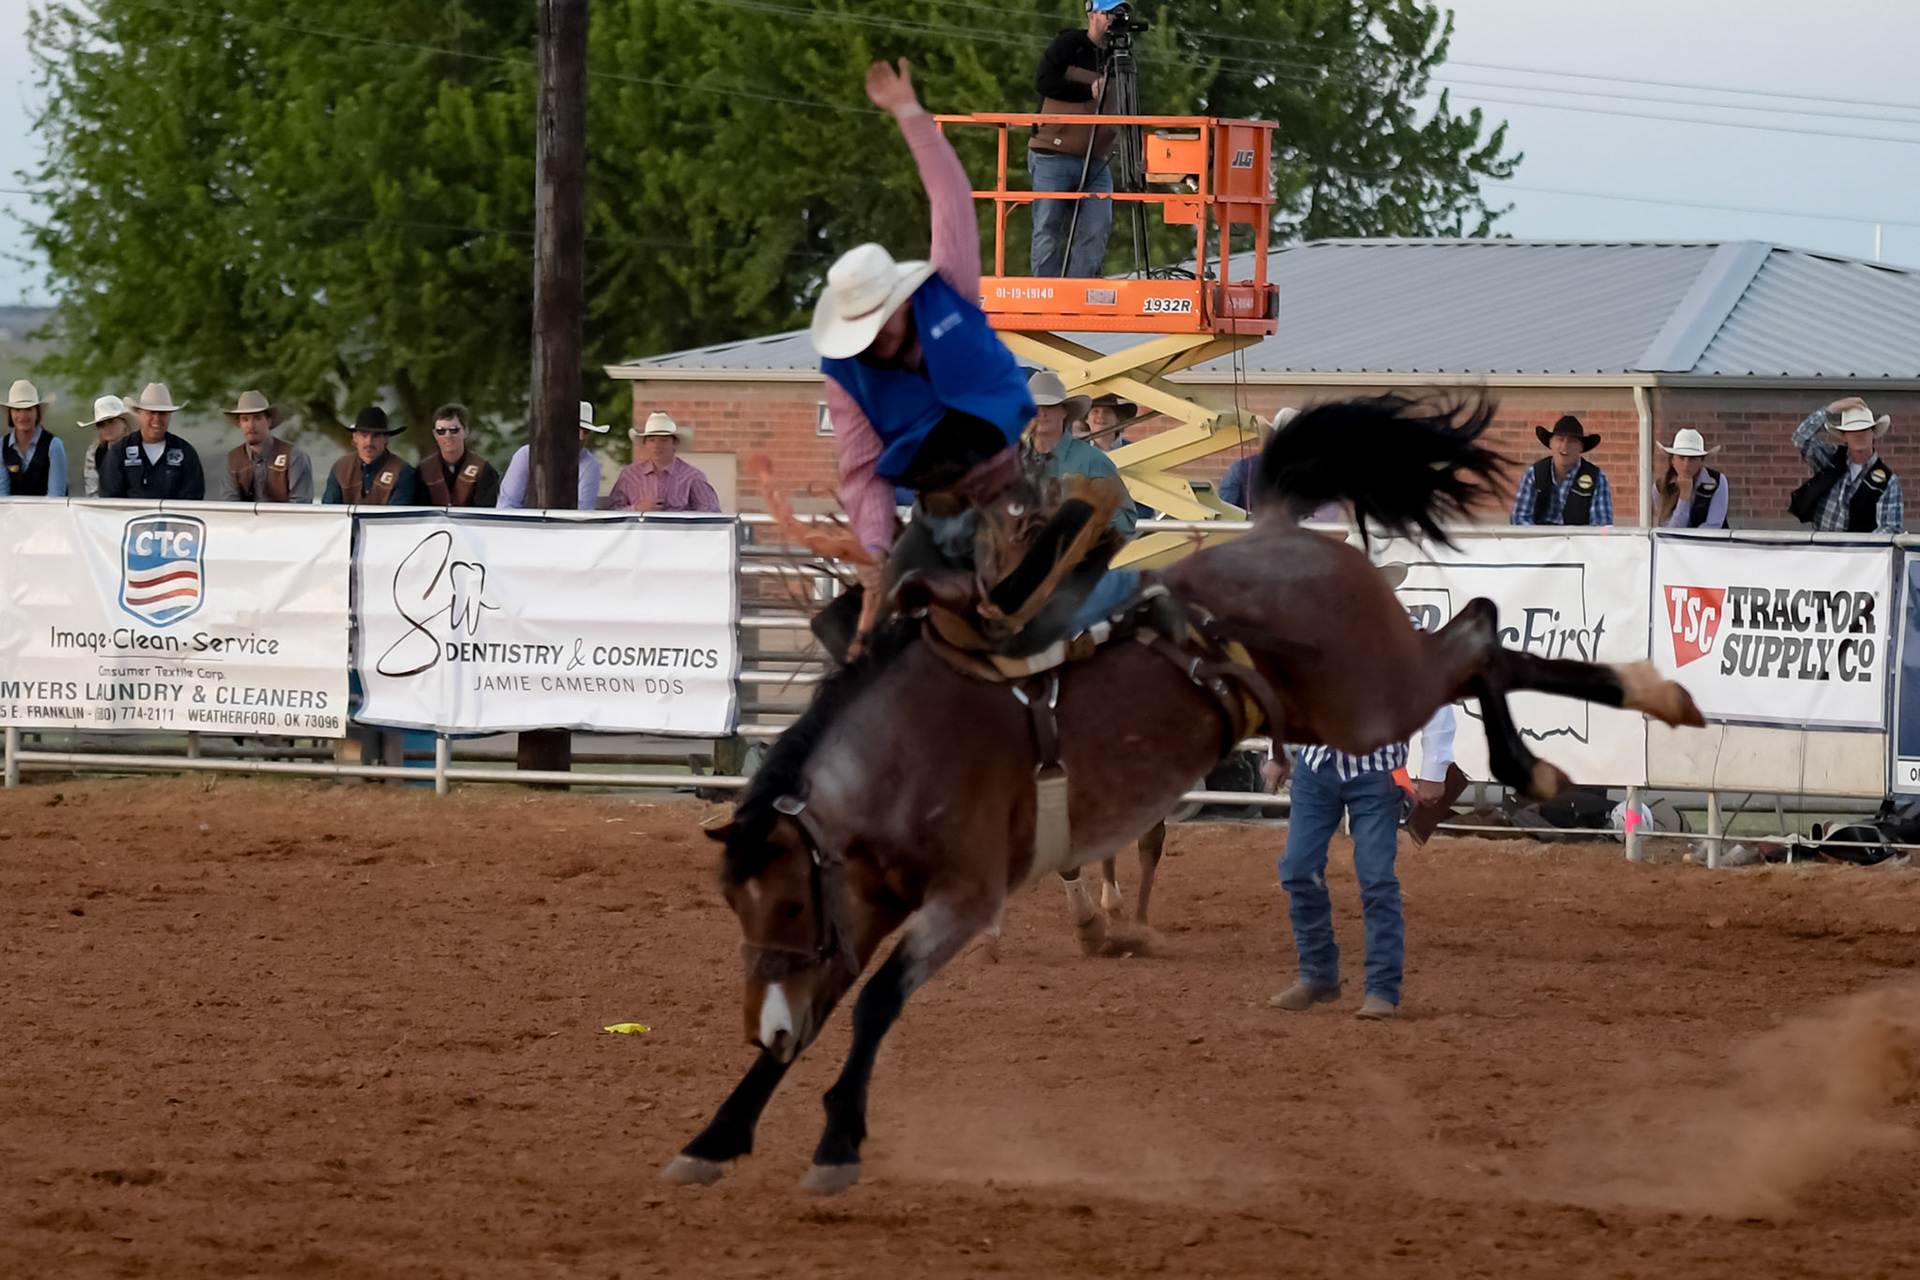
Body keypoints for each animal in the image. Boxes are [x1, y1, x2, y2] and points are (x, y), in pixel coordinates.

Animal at [663, 394, 1703, 1195]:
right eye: (738, 904)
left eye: (784, 899)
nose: (761, 1011)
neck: (904, 748)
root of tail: (1280, 529)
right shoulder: (862, 903)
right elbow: (822, 1009)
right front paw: (715, 1138)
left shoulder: (961, 897)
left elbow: (875, 1004)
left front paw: (837, 1143)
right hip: (1349, 706)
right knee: (1486, 639)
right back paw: (1608, 726)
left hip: (1376, 696)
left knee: (1482, 631)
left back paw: (1585, 741)